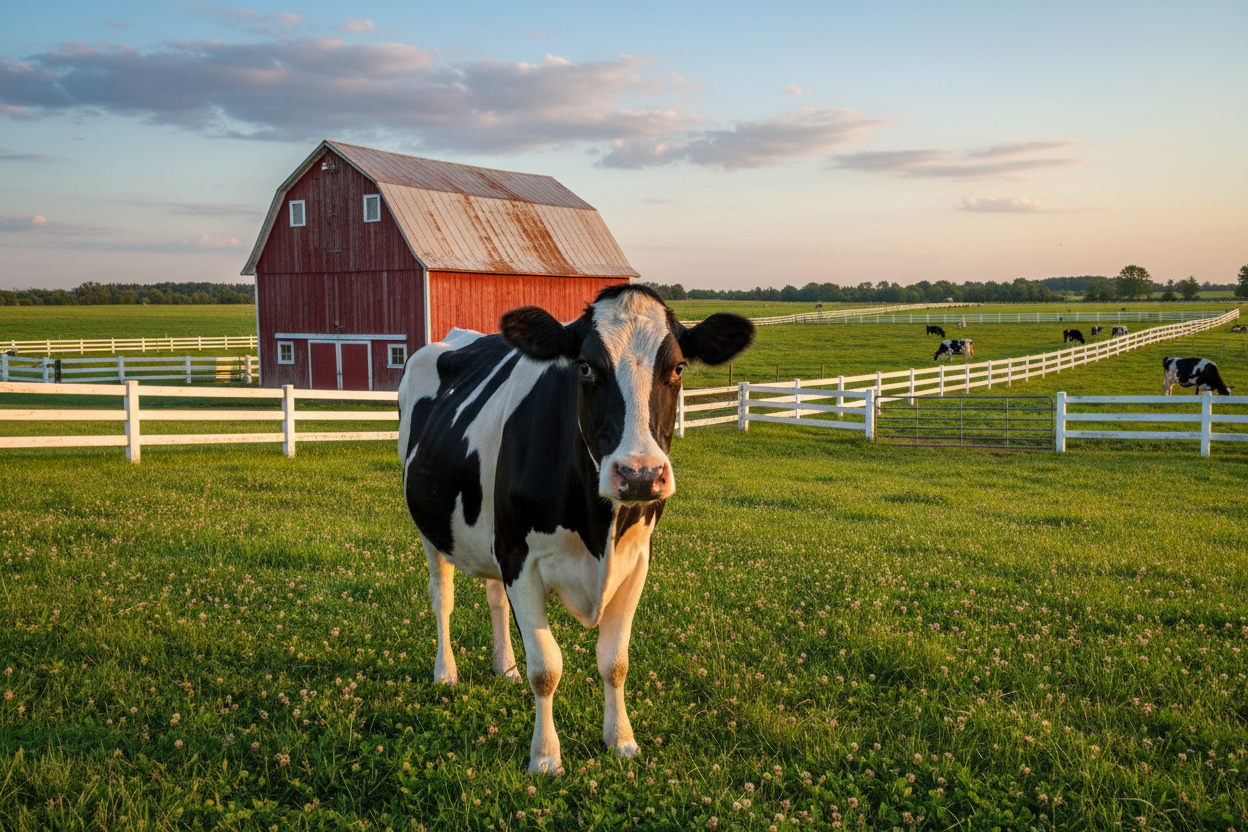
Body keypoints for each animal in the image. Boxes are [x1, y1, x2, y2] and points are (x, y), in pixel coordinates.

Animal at [398, 285, 754, 775]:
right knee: (442, 598)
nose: (640, 474)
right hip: (432, 531)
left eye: (678, 367)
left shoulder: (635, 561)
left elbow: (614, 661)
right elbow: (546, 668)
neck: (597, 529)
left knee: (494, 598)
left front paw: (621, 740)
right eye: (585, 366)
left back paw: (505, 668)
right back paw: (445, 673)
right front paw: (546, 757)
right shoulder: (520, 559)